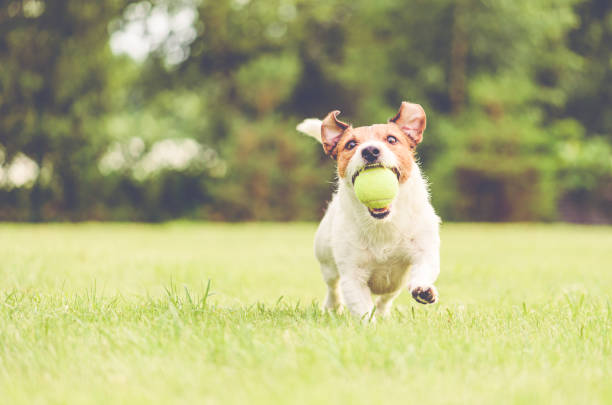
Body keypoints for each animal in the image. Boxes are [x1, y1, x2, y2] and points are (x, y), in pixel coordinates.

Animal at [296, 101, 440, 318]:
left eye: (391, 139)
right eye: (350, 145)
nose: (370, 150)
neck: (382, 224)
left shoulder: (424, 250)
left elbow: (423, 269)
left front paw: (423, 290)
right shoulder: (352, 276)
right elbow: (362, 309)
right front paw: (368, 324)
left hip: (395, 282)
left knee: (386, 298)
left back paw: (383, 313)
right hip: (326, 261)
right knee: (332, 287)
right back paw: (333, 307)